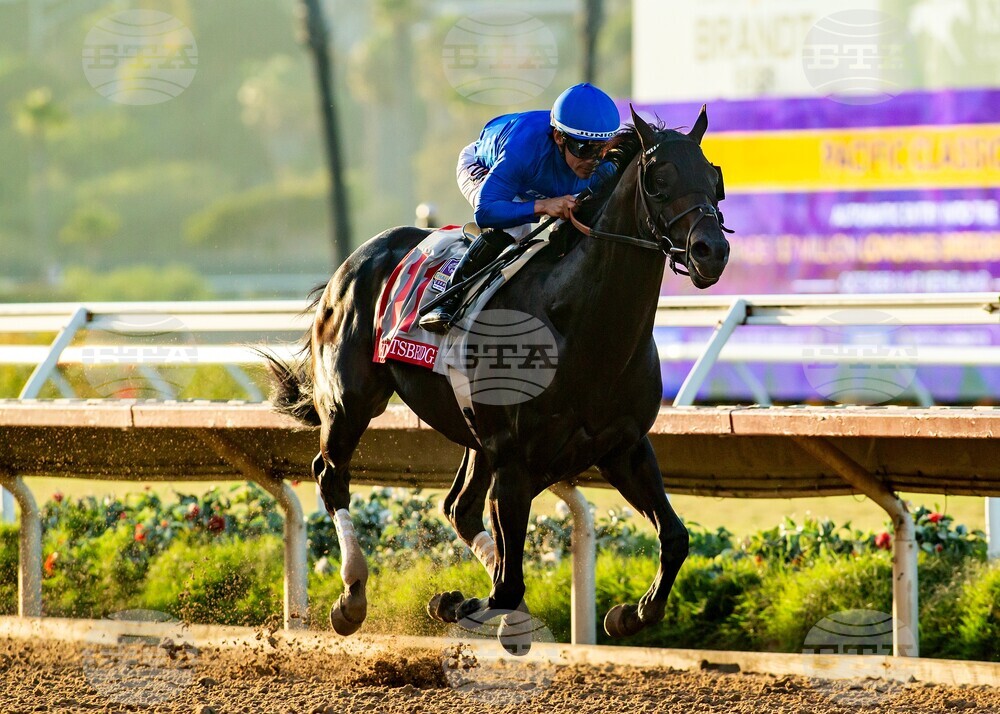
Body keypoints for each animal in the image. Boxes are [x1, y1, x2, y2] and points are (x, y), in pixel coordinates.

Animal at [266, 106, 731, 651]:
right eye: (658, 179)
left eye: (714, 178)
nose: (711, 250)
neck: (581, 328)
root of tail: (354, 261)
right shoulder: (515, 460)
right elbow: (507, 585)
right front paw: (461, 603)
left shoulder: (624, 448)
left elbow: (675, 537)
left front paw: (627, 615)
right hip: (351, 402)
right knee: (331, 474)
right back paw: (352, 596)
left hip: (474, 433)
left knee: (458, 508)